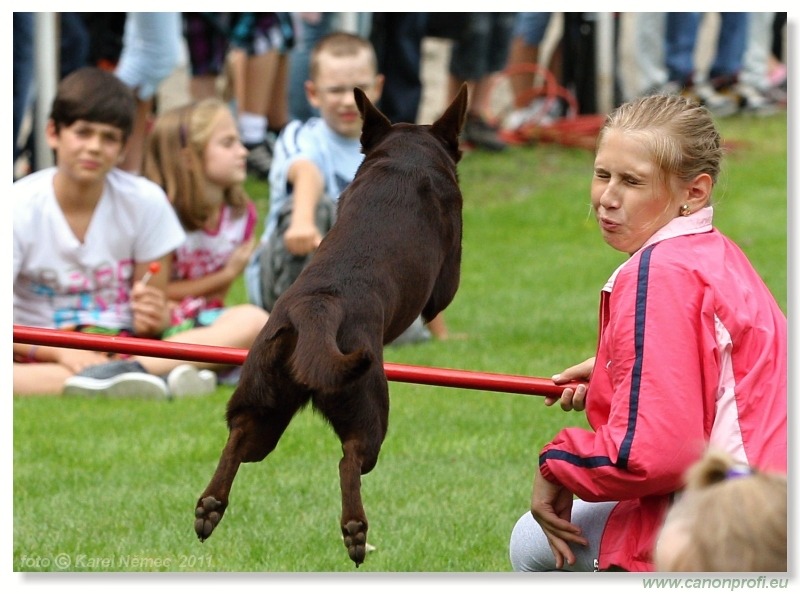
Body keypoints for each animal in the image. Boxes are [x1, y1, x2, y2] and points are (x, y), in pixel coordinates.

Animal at [194, 82, 468, 564]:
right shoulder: (445, 278)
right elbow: (443, 296)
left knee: (239, 438)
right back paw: (355, 532)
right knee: (351, 459)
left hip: (264, 399)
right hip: (367, 401)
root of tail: (317, 309)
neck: (406, 158)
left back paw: (209, 508)